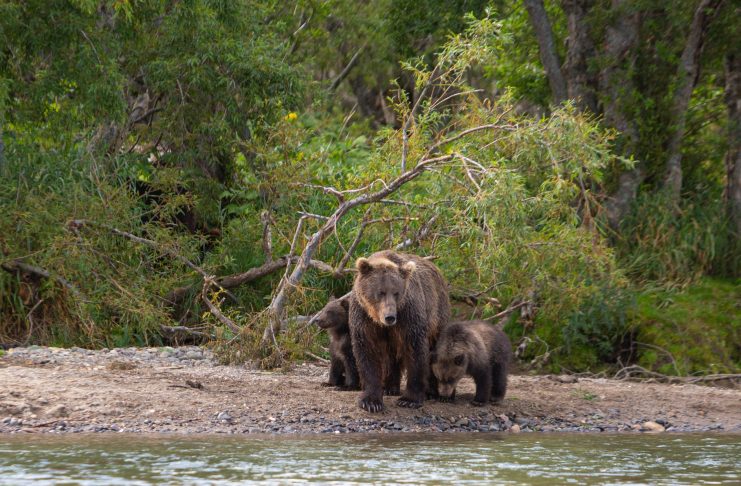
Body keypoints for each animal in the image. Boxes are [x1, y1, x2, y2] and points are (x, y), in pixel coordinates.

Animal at [349, 250, 450, 412]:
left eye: (396, 293)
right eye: (381, 292)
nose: (390, 317)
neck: (377, 318)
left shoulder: (408, 314)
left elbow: (415, 350)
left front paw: (409, 400)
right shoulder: (363, 316)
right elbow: (367, 351)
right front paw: (371, 402)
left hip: (437, 312)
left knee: (436, 349)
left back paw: (431, 392)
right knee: (391, 356)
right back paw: (390, 387)